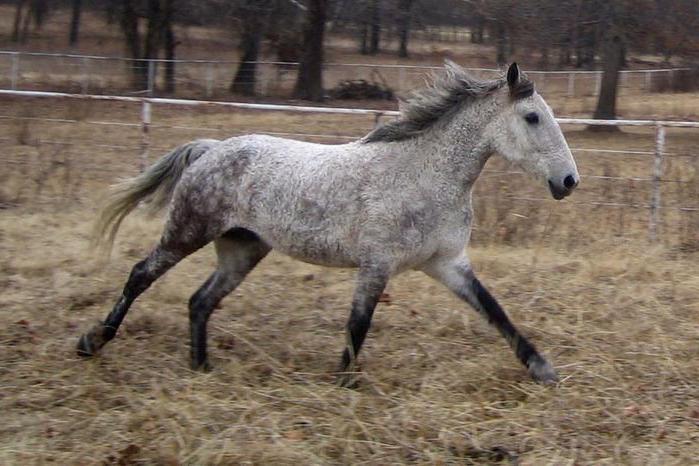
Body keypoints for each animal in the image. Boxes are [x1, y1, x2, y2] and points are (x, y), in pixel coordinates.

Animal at [76, 62, 580, 386]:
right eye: (532, 117)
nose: (569, 181)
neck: (422, 175)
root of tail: (211, 148)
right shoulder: (376, 265)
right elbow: (358, 324)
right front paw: (344, 384)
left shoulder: (448, 264)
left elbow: (495, 311)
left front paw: (543, 370)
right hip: (187, 231)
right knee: (140, 274)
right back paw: (92, 341)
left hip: (243, 249)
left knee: (200, 301)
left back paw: (201, 368)